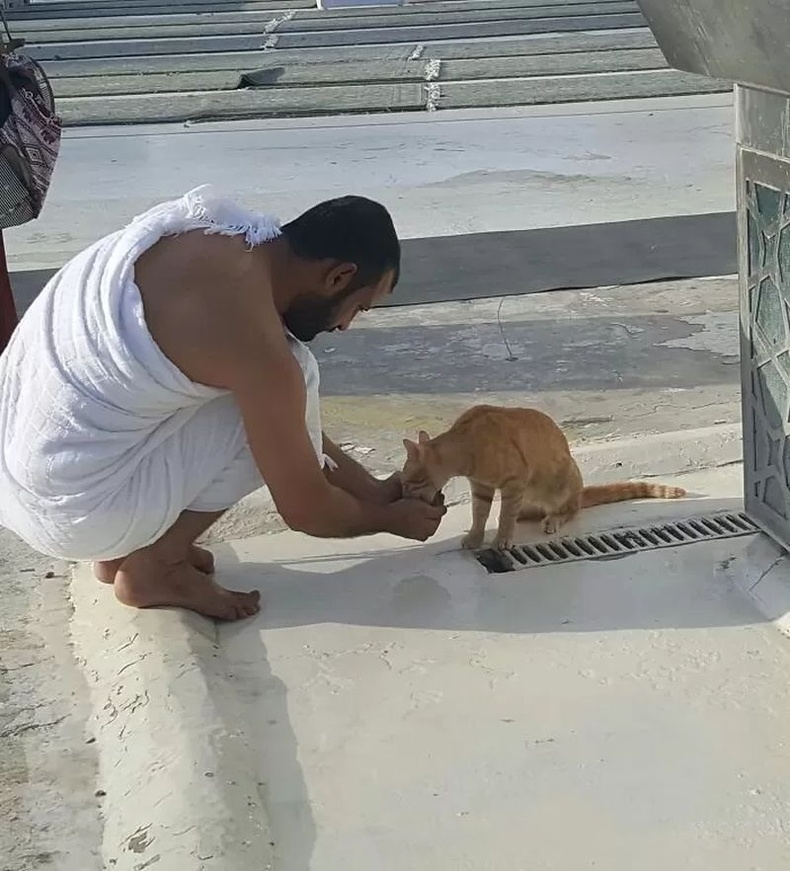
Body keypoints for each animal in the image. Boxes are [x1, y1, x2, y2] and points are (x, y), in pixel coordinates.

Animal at [402, 404, 688, 552]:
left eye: (407, 481)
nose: (402, 493)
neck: (467, 444)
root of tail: (579, 490)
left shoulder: (514, 482)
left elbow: (504, 516)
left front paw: (502, 539)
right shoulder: (481, 487)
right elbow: (479, 514)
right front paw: (474, 536)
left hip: (558, 486)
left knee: (570, 509)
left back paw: (552, 519)